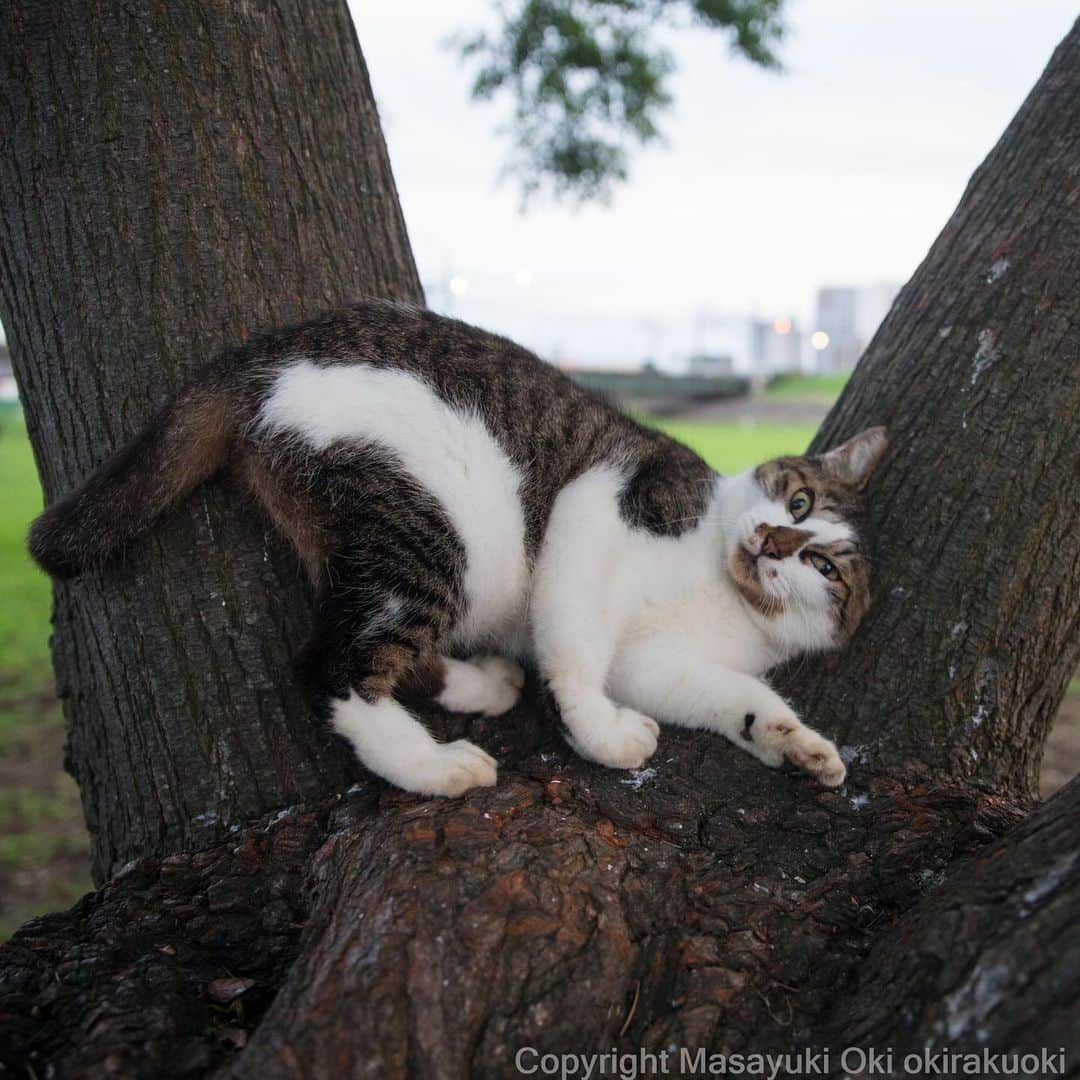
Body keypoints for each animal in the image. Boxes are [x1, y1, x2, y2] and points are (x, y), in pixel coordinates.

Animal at [29, 300, 885, 799]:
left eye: (824, 566)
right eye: (799, 503)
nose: (773, 539)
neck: (717, 585)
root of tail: (261, 355)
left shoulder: (659, 665)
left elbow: (734, 698)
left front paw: (800, 748)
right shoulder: (598, 506)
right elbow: (575, 650)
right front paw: (601, 735)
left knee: (394, 650)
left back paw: (483, 684)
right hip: (442, 525)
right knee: (332, 666)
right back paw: (434, 767)